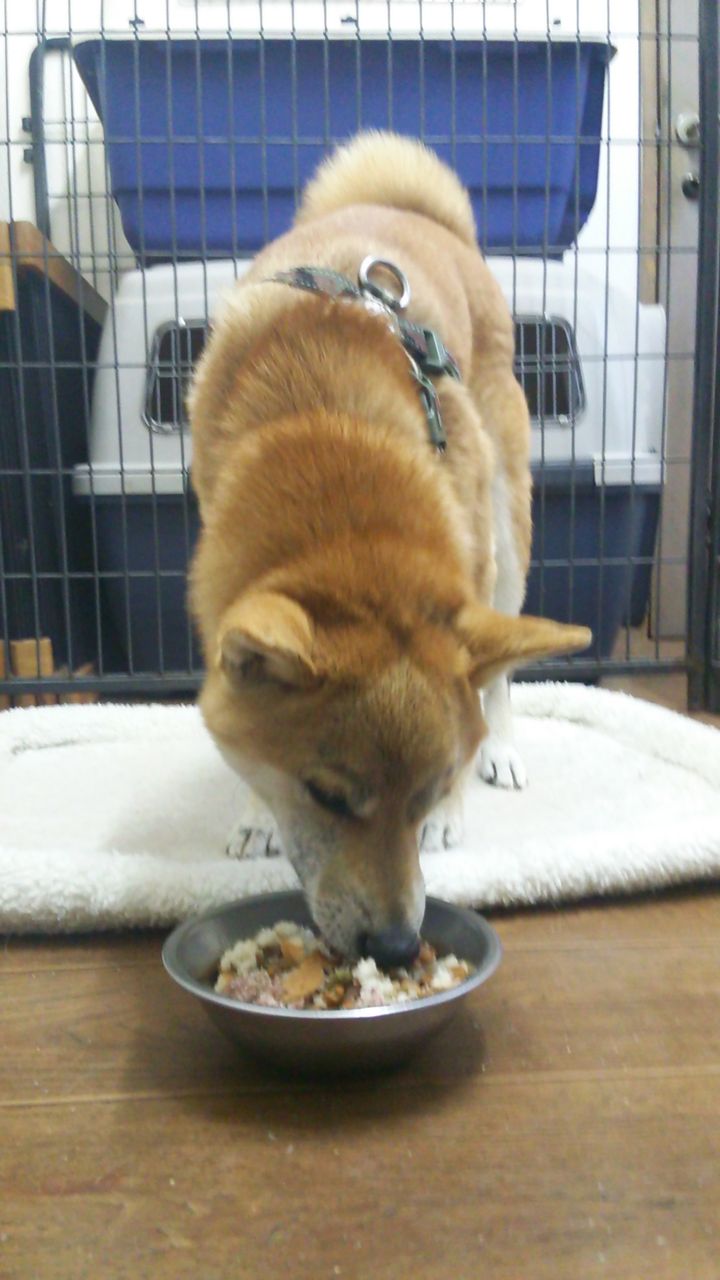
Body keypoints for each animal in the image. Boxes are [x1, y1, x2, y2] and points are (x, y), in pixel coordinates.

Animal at [188, 132, 590, 964]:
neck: (321, 428)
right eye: (327, 796)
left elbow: (477, 689)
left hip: (510, 532)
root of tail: (407, 210)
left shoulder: (471, 565)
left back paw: (504, 746)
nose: (401, 946)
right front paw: (254, 813)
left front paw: (456, 809)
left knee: (503, 672)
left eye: (431, 789)